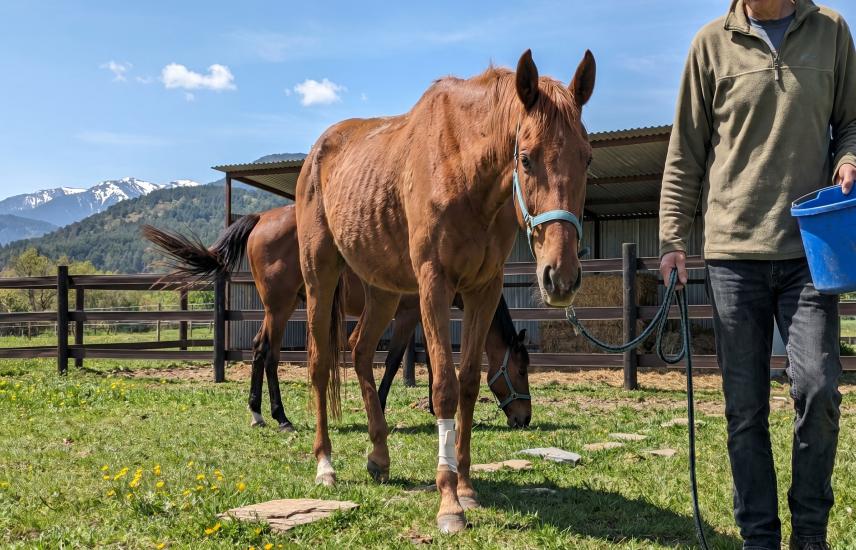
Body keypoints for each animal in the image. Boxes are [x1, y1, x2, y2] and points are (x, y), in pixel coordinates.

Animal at [142, 205, 532, 430]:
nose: (524, 418)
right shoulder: (407, 314)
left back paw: (260, 415)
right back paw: (279, 417)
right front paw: (383, 406)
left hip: (281, 308)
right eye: (520, 370)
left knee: (259, 349)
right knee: (268, 353)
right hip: (280, 307)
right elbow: (393, 361)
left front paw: (433, 406)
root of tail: (262, 219)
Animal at [295, 49, 595, 533]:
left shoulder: (483, 289)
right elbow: (444, 389)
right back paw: (325, 465)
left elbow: (469, 383)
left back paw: (379, 456)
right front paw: (450, 502)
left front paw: (468, 488)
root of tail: (316, 154)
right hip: (319, 276)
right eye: (526, 158)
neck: (466, 170)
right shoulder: (434, 287)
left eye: (586, 158)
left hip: (383, 292)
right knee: (321, 364)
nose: (561, 277)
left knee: (359, 351)